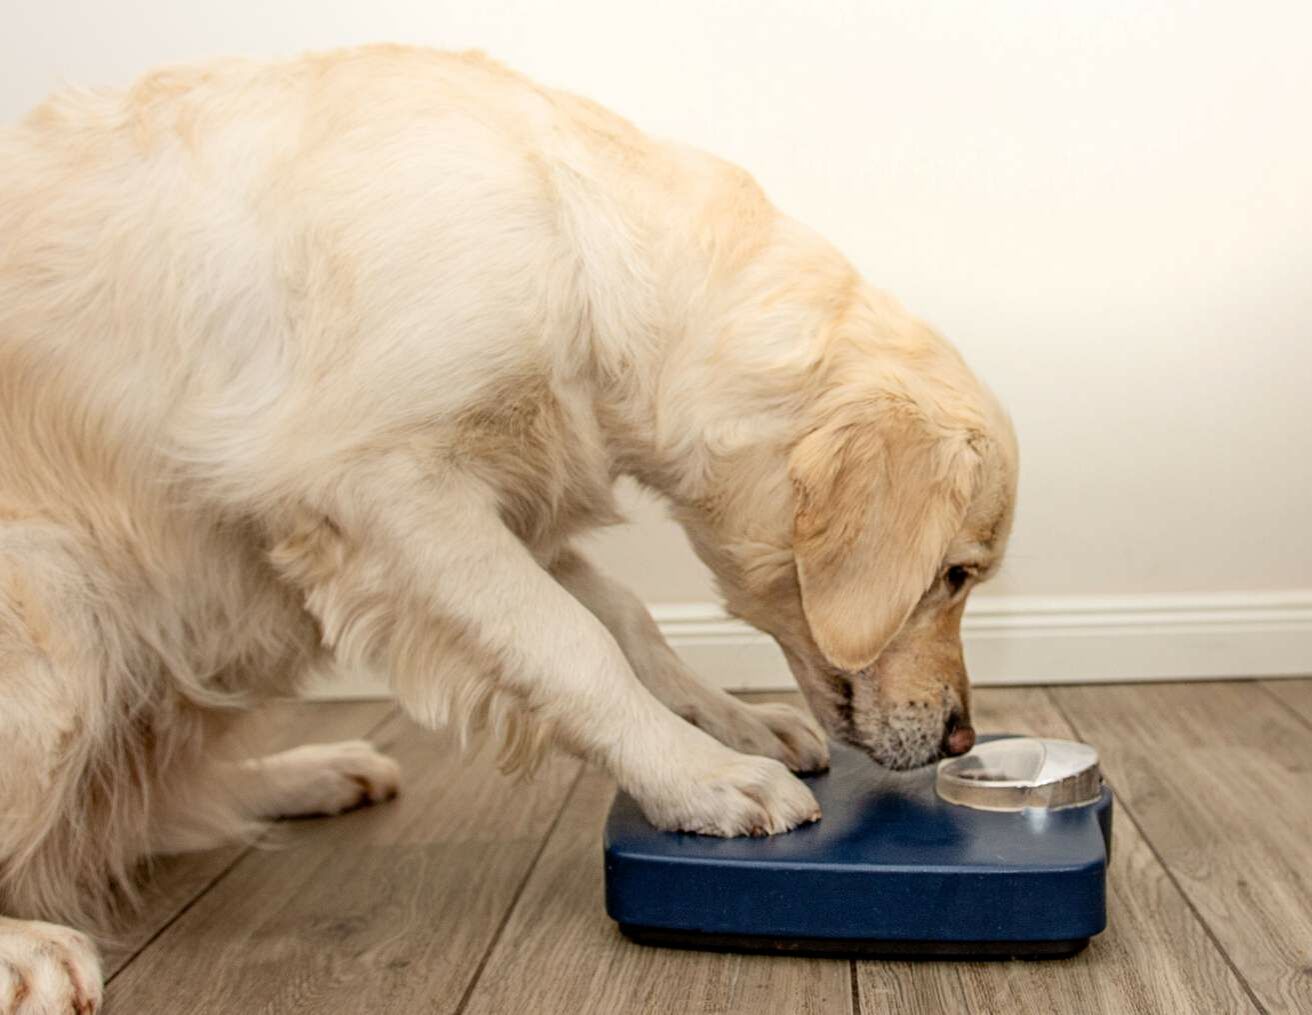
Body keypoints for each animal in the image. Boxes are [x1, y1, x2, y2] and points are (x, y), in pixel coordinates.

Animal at [0, 49, 1012, 1015]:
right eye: (955, 574)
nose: (962, 736)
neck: (575, 243)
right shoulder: (390, 491)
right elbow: (572, 646)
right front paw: (699, 775)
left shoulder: (505, 503)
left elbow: (629, 621)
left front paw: (731, 722)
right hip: (60, 605)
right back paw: (30, 950)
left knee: (135, 816)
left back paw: (313, 771)